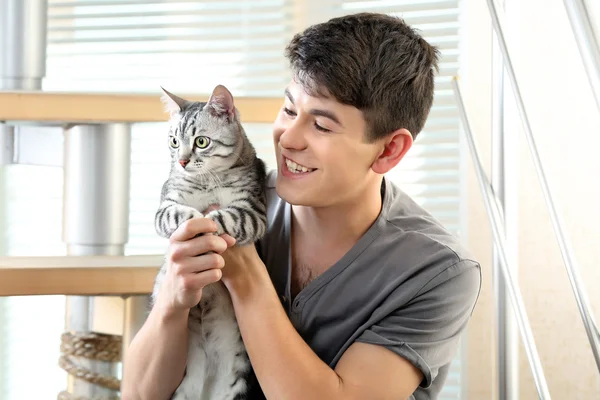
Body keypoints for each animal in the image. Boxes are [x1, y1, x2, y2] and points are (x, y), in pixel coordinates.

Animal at [152, 84, 268, 400]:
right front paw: (193, 218)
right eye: (174, 141)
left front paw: (210, 222)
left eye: (201, 142)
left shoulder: (253, 211)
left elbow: (225, 217)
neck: (206, 181)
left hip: (236, 381)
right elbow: (177, 213)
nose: (181, 161)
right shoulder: (165, 205)